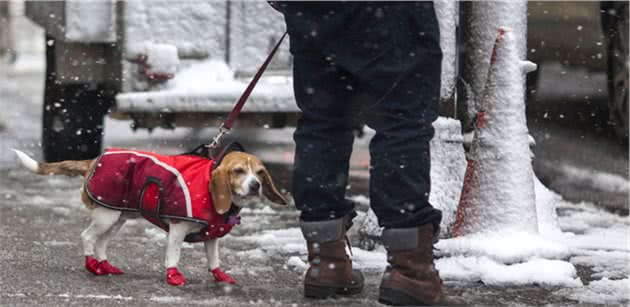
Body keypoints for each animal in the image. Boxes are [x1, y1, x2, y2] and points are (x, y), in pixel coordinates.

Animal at [12, 148, 288, 288]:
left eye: (259, 172)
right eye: (239, 171)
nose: (255, 186)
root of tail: (94, 160)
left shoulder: (212, 237)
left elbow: (214, 259)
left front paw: (220, 276)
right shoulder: (177, 230)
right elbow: (173, 256)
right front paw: (173, 276)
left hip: (117, 219)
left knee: (101, 242)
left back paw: (104, 265)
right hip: (105, 217)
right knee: (87, 237)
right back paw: (91, 264)